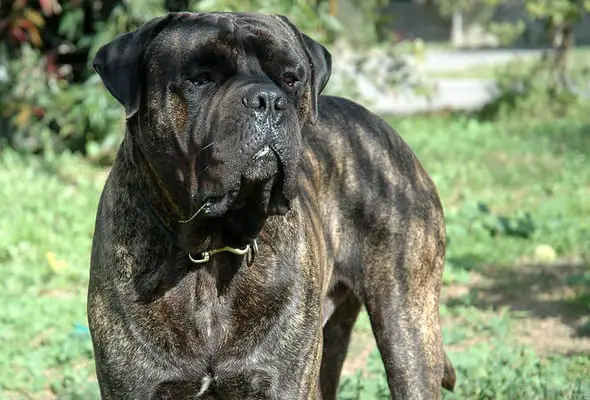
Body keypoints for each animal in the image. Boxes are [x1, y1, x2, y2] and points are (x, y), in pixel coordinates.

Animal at [89, 10, 458, 398]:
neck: (213, 249)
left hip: (407, 328)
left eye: (291, 79)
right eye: (200, 79)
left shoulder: (281, 379)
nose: (267, 99)